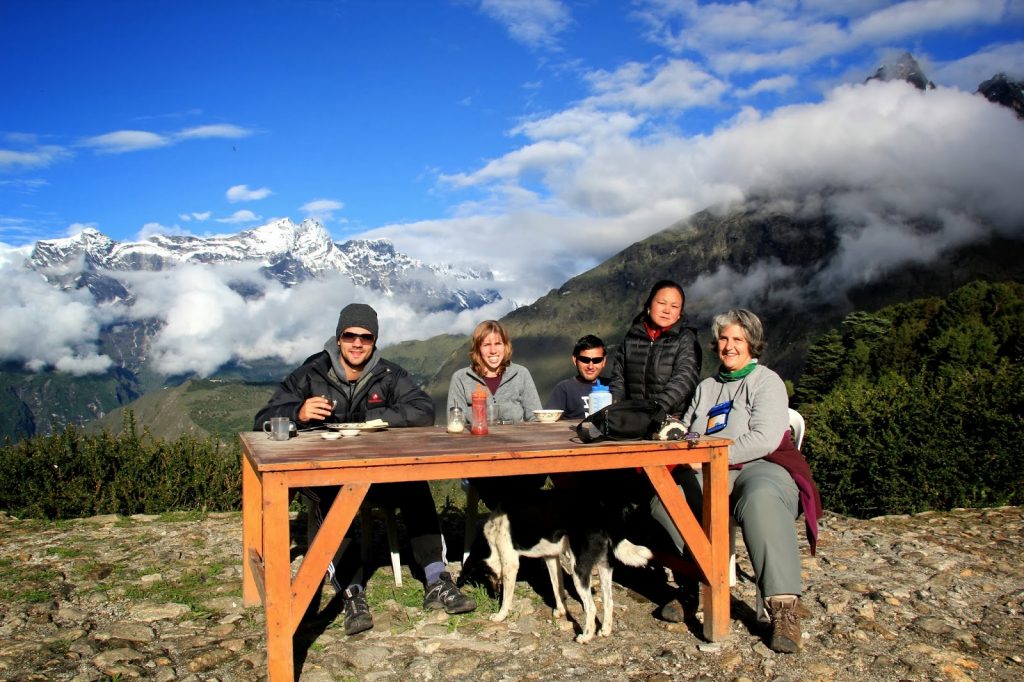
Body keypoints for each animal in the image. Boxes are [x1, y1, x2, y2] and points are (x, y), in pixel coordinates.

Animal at [477, 491, 647, 638]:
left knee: (590, 607)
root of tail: (601, 513)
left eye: (485, 575)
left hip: (578, 570)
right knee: (608, 601)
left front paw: (500, 616)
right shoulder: (551, 558)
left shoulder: (510, 562)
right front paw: (561, 610)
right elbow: (557, 587)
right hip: (604, 566)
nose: (493, 594)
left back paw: (585, 637)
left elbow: (507, 598)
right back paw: (605, 630)